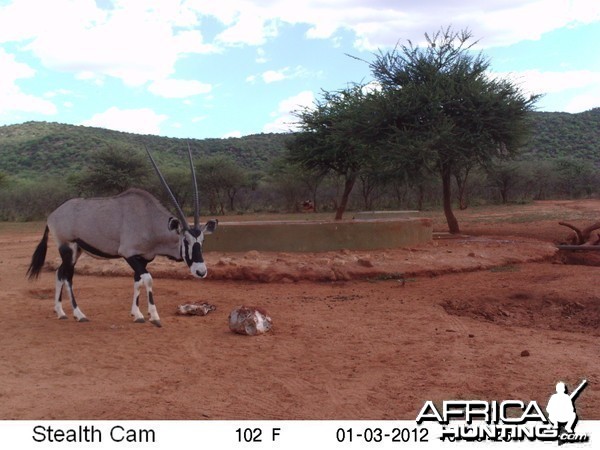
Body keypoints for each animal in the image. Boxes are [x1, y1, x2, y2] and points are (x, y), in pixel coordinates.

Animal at [27, 147, 218, 326]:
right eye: (185, 240)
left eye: (202, 240)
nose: (201, 271)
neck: (148, 219)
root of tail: (52, 215)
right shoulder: (128, 253)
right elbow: (148, 279)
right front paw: (154, 316)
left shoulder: (143, 258)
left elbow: (137, 281)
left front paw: (137, 314)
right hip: (68, 247)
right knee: (67, 276)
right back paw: (79, 314)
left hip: (76, 251)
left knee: (59, 273)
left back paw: (60, 312)